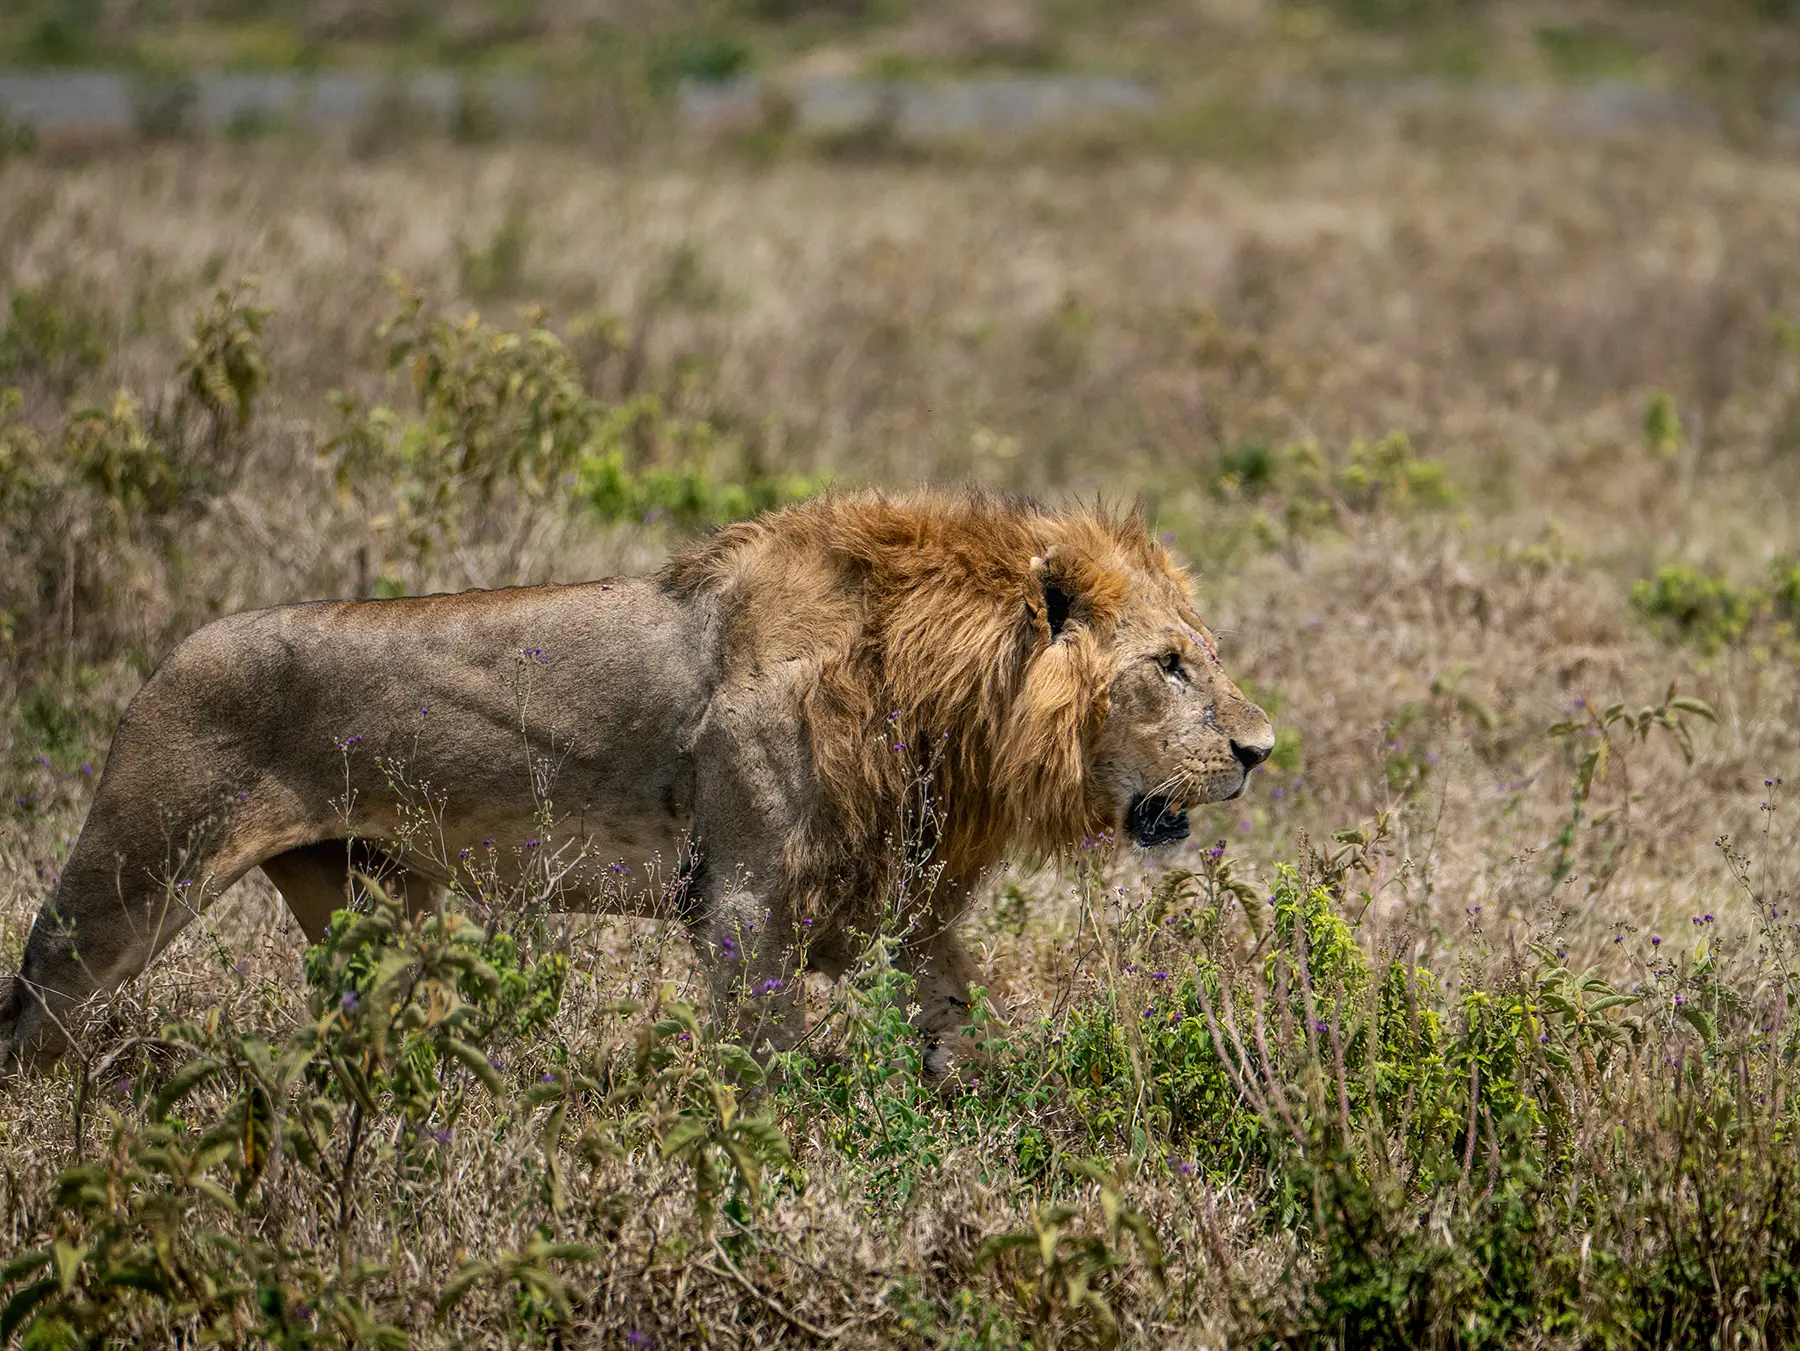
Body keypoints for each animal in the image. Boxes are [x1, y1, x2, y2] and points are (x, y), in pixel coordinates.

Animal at [0, 491, 1273, 1075]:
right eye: (1168, 664)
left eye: (1205, 652)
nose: (1263, 750)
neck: (940, 700)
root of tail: (164, 655)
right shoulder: (745, 896)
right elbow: (772, 1065)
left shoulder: (909, 895)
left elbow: (952, 1022)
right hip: (134, 867)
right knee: (36, 1006)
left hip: (366, 901)